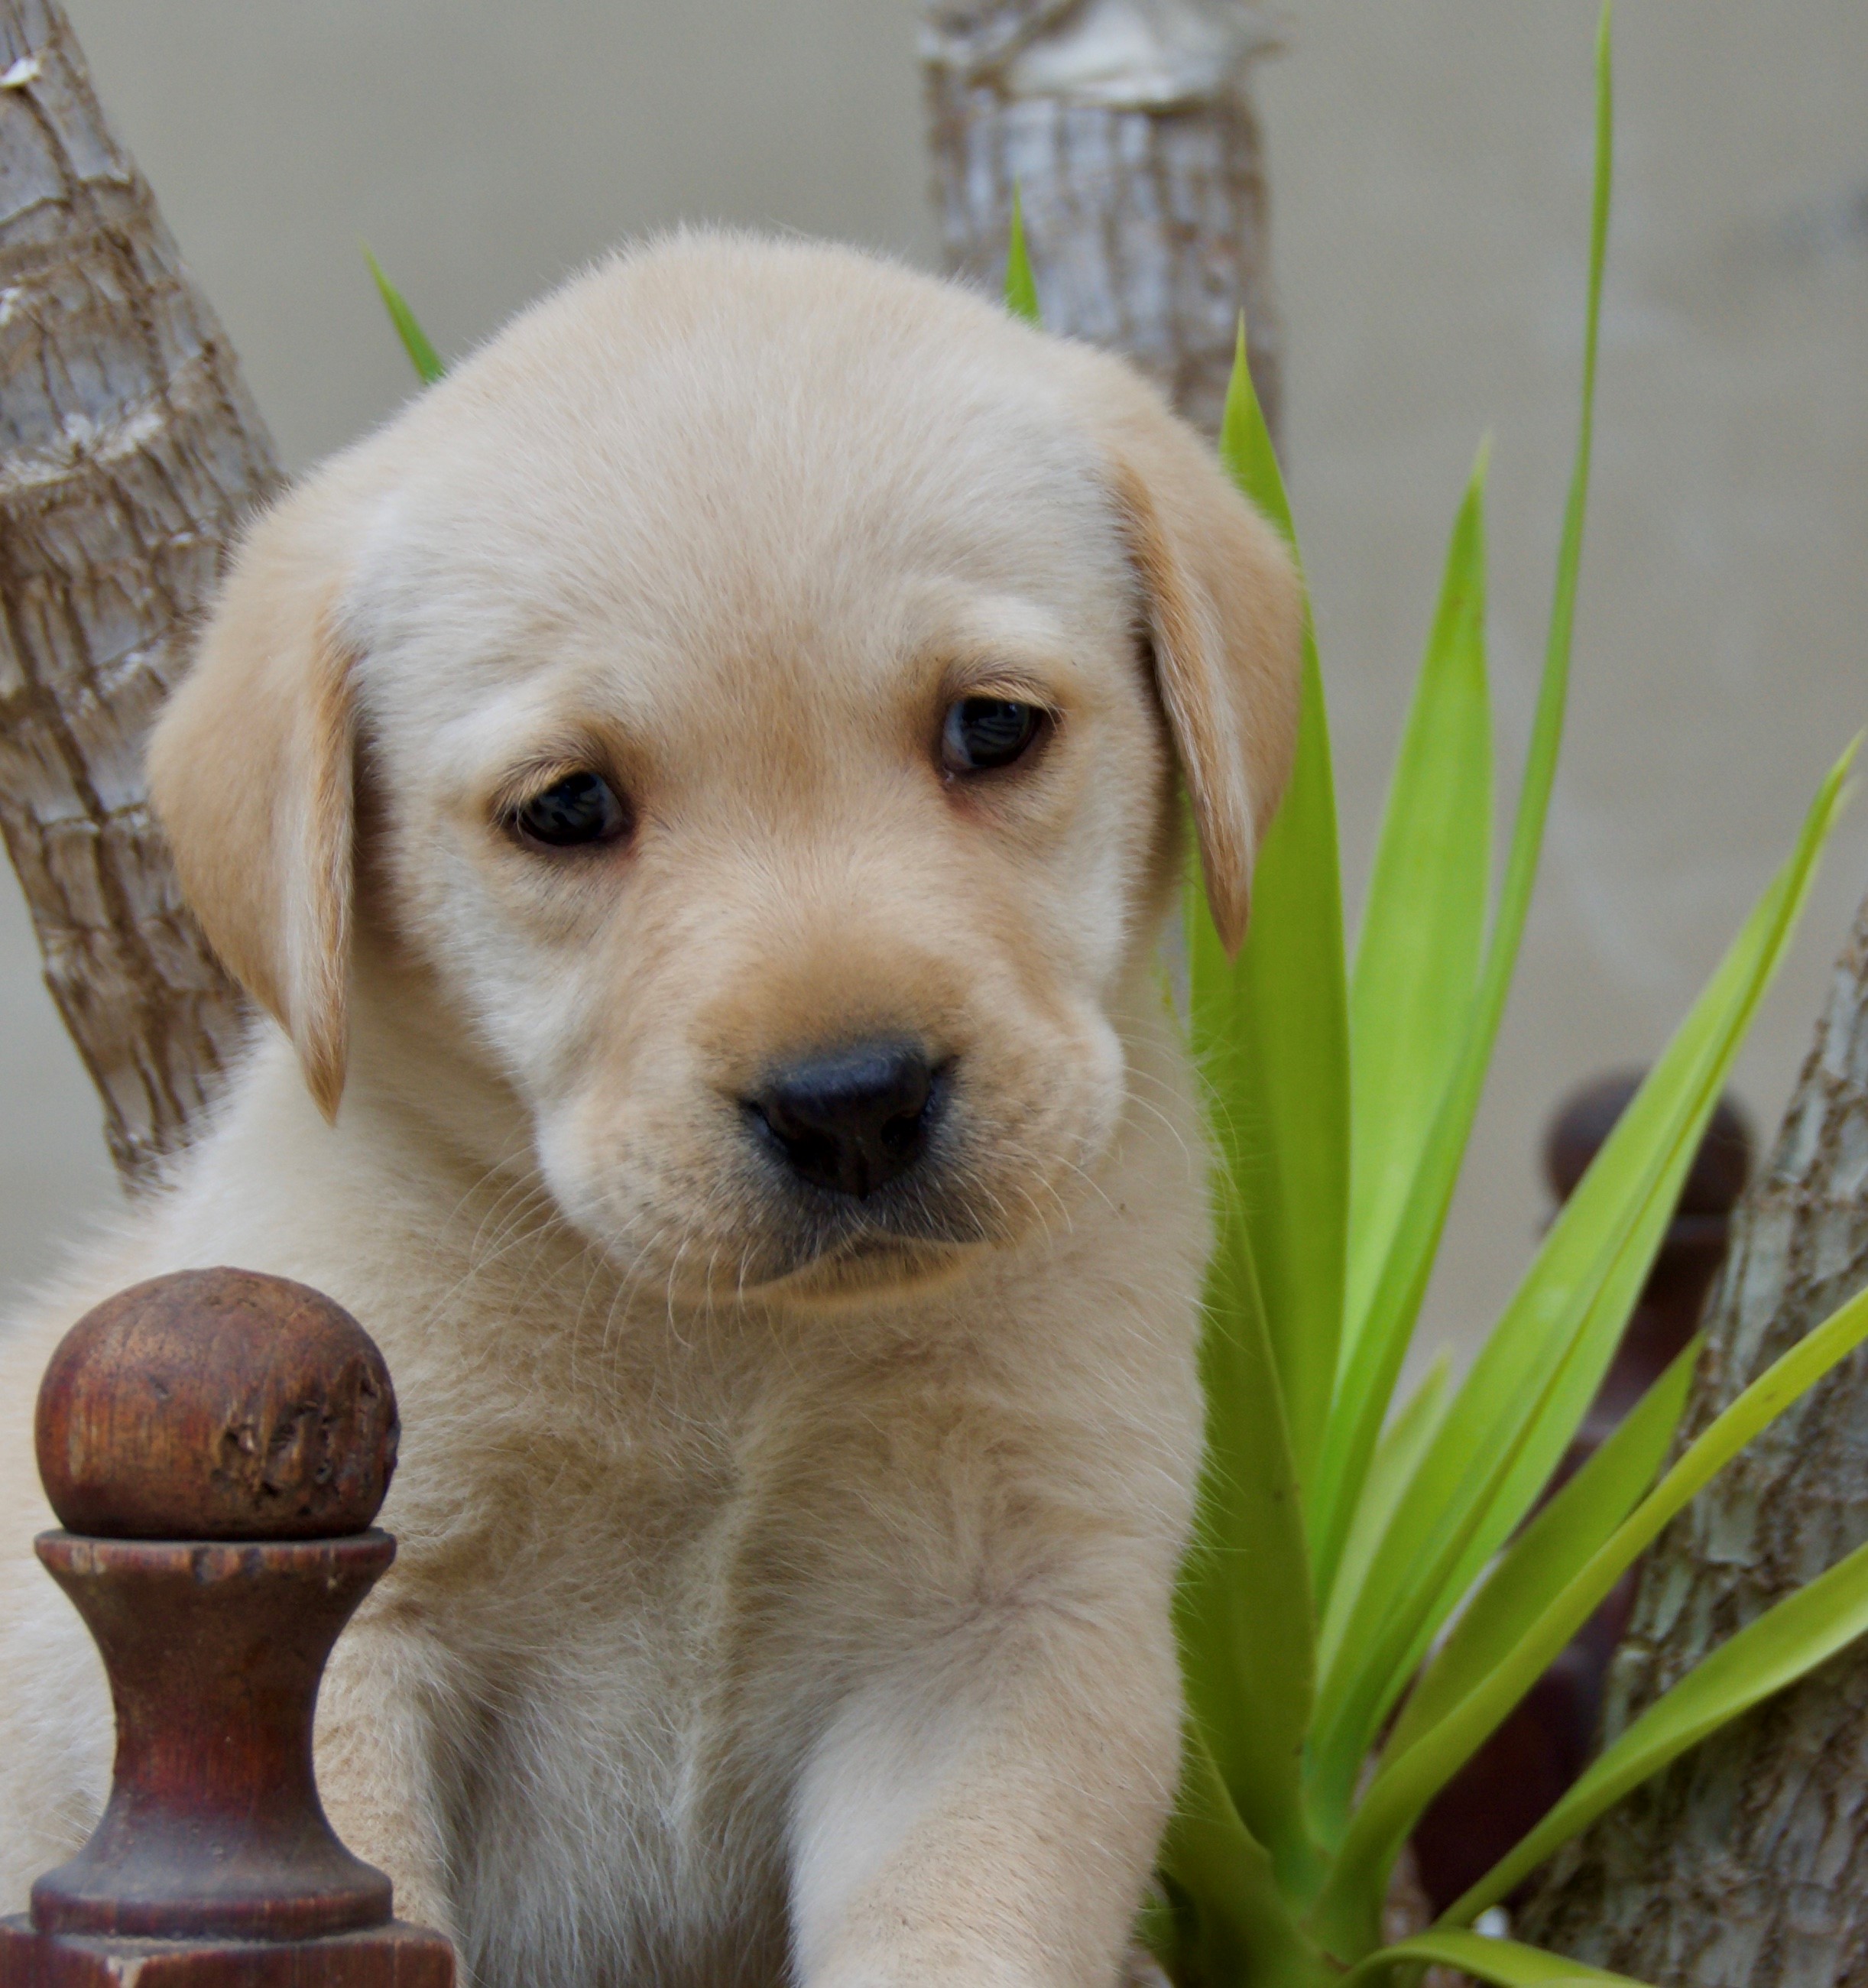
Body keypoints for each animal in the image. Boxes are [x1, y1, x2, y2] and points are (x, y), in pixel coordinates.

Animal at [0, 236, 1296, 1988]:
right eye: (566, 808)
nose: (852, 1102)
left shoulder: (999, 1634)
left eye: (991, 726)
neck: (732, 1359)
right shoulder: (345, 1645)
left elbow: (957, 1930)